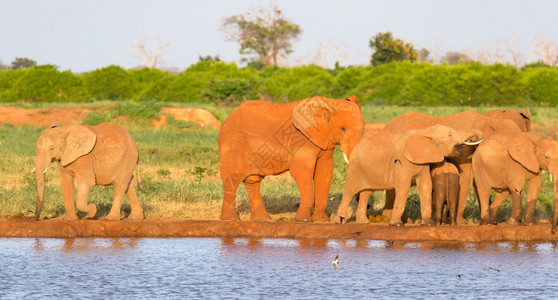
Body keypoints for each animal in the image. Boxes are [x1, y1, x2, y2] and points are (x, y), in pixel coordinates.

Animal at [334, 123, 484, 225]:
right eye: (450, 136)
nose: (476, 137)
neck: (425, 132)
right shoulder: (402, 162)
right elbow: (403, 187)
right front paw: (397, 224)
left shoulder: (423, 163)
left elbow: (426, 186)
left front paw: (428, 224)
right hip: (355, 166)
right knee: (349, 191)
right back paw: (339, 221)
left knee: (367, 192)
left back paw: (363, 222)